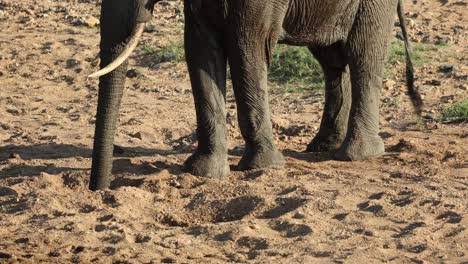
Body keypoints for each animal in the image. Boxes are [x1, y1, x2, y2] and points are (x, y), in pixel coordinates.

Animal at [87, 0, 420, 190]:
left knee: (363, 54)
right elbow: (200, 49)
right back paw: (323, 146)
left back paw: (356, 154)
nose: (99, 190)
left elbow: (247, 46)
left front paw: (261, 167)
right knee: (332, 59)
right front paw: (203, 172)